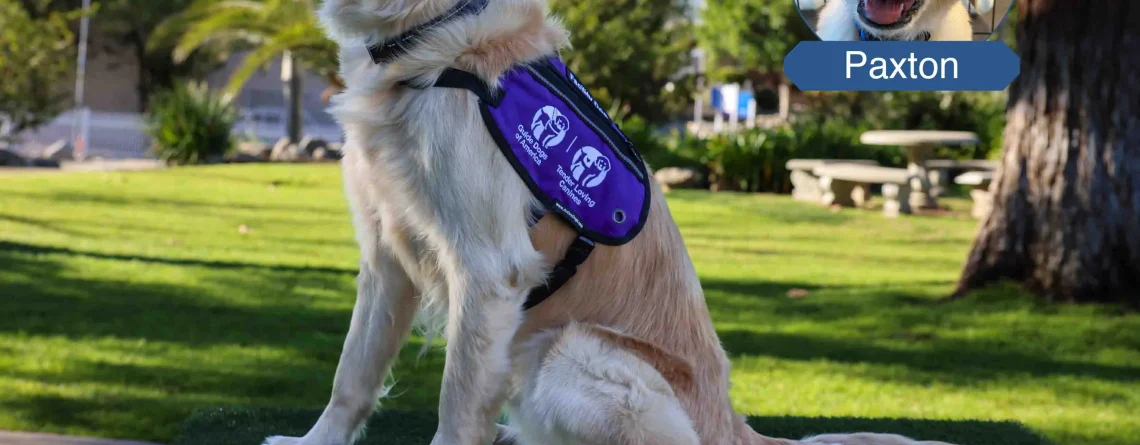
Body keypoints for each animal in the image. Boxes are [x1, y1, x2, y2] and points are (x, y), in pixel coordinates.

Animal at [262, 1, 963, 444]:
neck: (434, 39)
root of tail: (734, 427)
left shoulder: (489, 269)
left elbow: (456, 406)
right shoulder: (386, 252)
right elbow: (351, 376)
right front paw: (312, 443)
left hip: (567, 349)